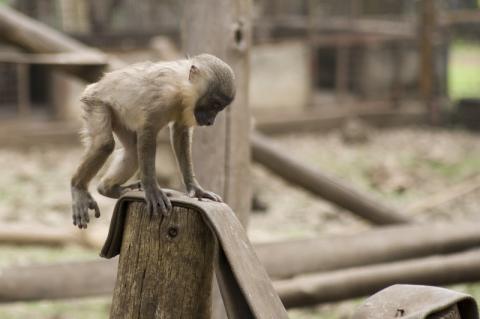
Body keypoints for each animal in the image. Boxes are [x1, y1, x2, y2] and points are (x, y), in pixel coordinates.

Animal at [70, 55, 235, 230]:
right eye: (215, 104)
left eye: (219, 108)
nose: (210, 121)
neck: (180, 85)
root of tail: (95, 86)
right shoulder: (163, 97)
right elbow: (148, 130)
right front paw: (152, 191)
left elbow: (180, 132)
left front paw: (195, 189)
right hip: (95, 102)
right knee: (104, 144)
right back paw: (78, 187)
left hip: (118, 115)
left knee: (133, 150)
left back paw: (107, 189)